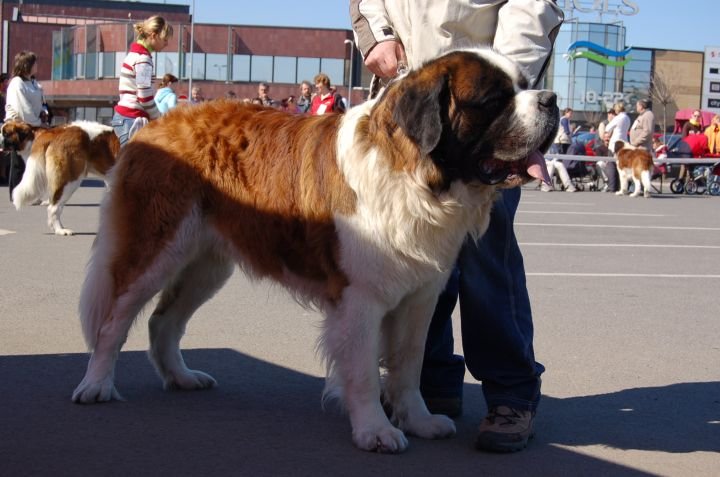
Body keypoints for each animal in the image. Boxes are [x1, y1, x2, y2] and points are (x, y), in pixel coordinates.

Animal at [71, 49, 556, 454]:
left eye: (526, 82)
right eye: (494, 99)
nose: (550, 98)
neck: (416, 176)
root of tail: (158, 124)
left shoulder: (419, 298)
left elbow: (407, 365)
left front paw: (418, 421)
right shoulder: (360, 299)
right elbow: (364, 370)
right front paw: (375, 431)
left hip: (206, 265)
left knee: (163, 320)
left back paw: (182, 377)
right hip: (155, 248)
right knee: (114, 321)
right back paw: (96, 385)